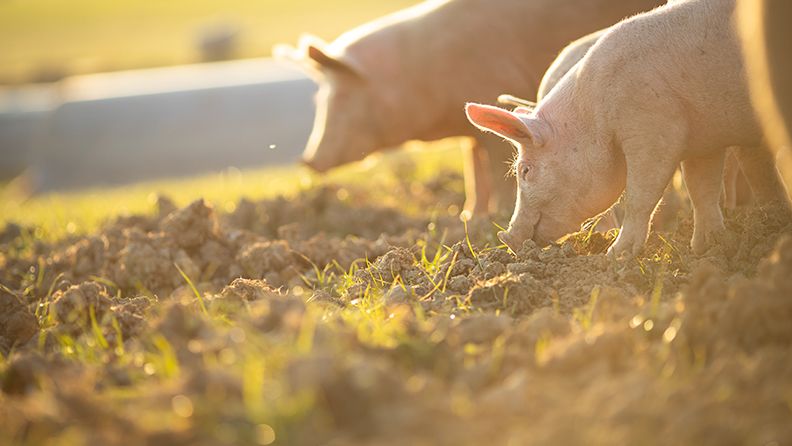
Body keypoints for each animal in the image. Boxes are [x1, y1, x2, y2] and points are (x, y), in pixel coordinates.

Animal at [276, 0, 664, 218]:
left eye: (341, 97)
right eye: (318, 99)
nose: (306, 161)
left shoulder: (492, 97)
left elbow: (492, 168)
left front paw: (493, 216)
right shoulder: (471, 132)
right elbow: (473, 170)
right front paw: (468, 218)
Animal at [468, 0, 788, 256]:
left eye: (524, 170)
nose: (506, 238)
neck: (594, 113)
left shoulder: (653, 129)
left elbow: (639, 195)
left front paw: (616, 256)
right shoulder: (704, 140)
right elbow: (702, 188)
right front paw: (706, 249)